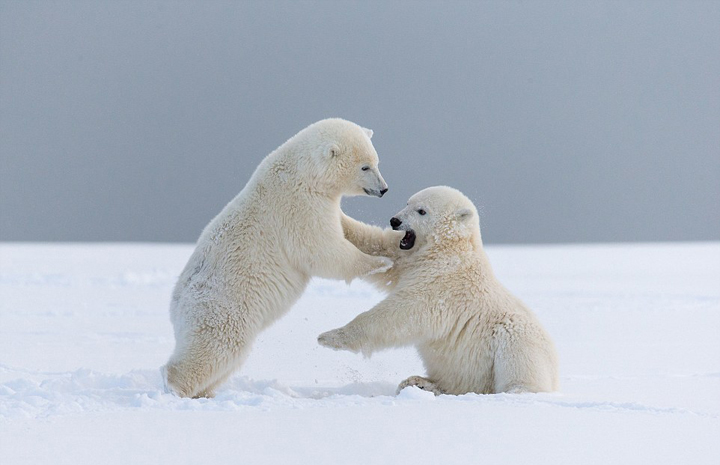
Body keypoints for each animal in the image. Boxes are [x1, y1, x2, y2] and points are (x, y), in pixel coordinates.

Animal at [164, 118, 400, 396]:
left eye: (376, 161)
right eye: (365, 166)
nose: (384, 189)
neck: (302, 173)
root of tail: (176, 307)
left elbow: (344, 229)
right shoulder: (297, 206)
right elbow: (321, 249)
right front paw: (381, 263)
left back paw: (205, 392)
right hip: (224, 309)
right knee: (218, 347)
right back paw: (175, 386)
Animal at [320, 186, 564, 396]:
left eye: (422, 211)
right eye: (407, 202)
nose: (395, 220)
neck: (447, 249)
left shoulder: (442, 282)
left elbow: (402, 312)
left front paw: (330, 337)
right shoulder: (407, 258)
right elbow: (377, 244)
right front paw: (338, 215)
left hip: (516, 340)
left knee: (518, 354)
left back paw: (515, 391)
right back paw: (419, 383)